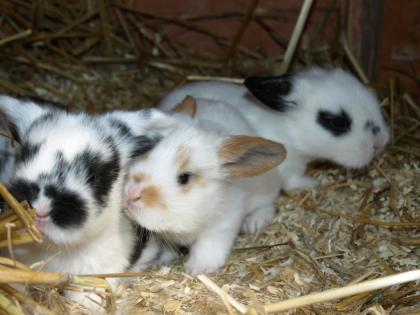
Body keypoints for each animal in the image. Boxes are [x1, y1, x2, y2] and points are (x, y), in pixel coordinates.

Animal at [123, 97, 288, 276]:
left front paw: (197, 269)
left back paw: (253, 224)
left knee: (267, 207)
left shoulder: (220, 228)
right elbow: (167, 249)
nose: (130, 193)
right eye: (145, 151)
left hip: (264, 192)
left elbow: (206, 249)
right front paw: (162, 261)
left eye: (184, 177)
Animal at [159, 67, 388, 193]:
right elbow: (292, 181)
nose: (379, 145)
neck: (289, 130)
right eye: (337, 123)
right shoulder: (289, 166)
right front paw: (310, 184)